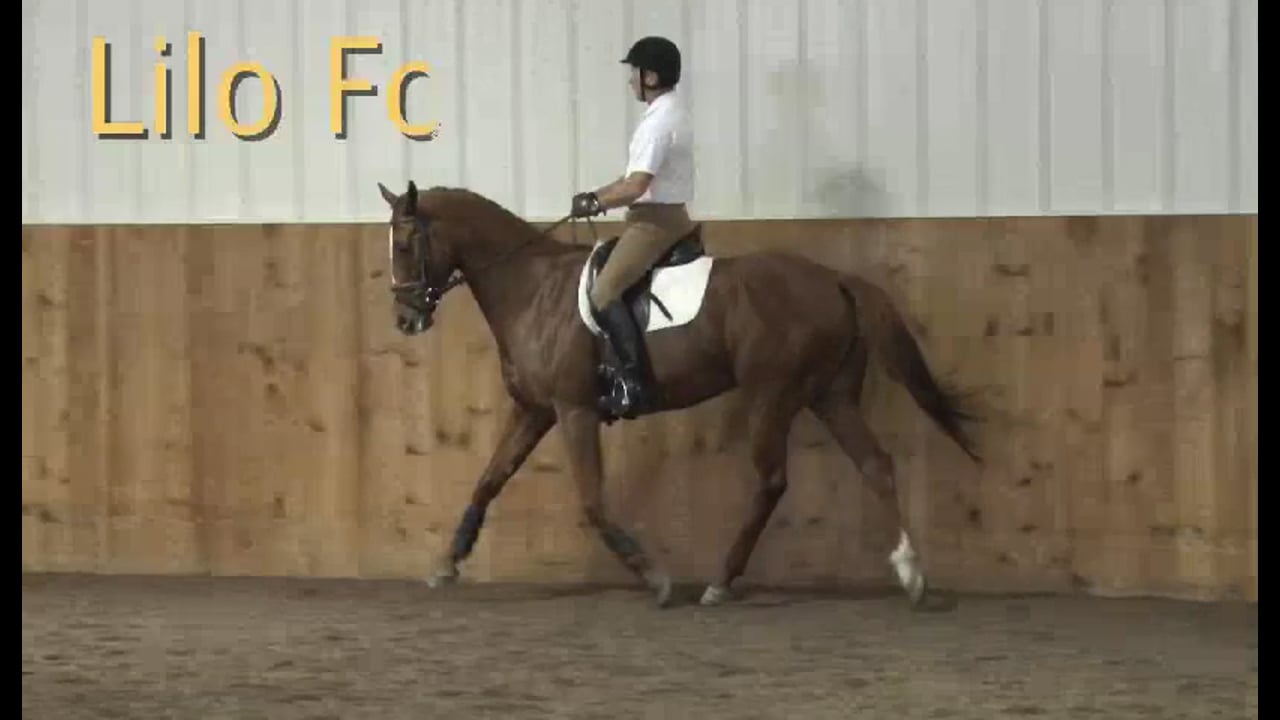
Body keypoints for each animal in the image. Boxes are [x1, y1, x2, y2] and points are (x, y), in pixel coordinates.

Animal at [377, 180, 982, 609]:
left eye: (406, 243)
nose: (406, 318)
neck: (533, 291)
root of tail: (834, 278)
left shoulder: (574, 411)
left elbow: (592, 500)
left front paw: (654, 577)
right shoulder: (534, 410)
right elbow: (488, 480)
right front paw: (447, 563)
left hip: (772, 395)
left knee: (772, 481)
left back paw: (720, 581)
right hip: (830, 397)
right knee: (875, 464)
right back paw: (911, 573)